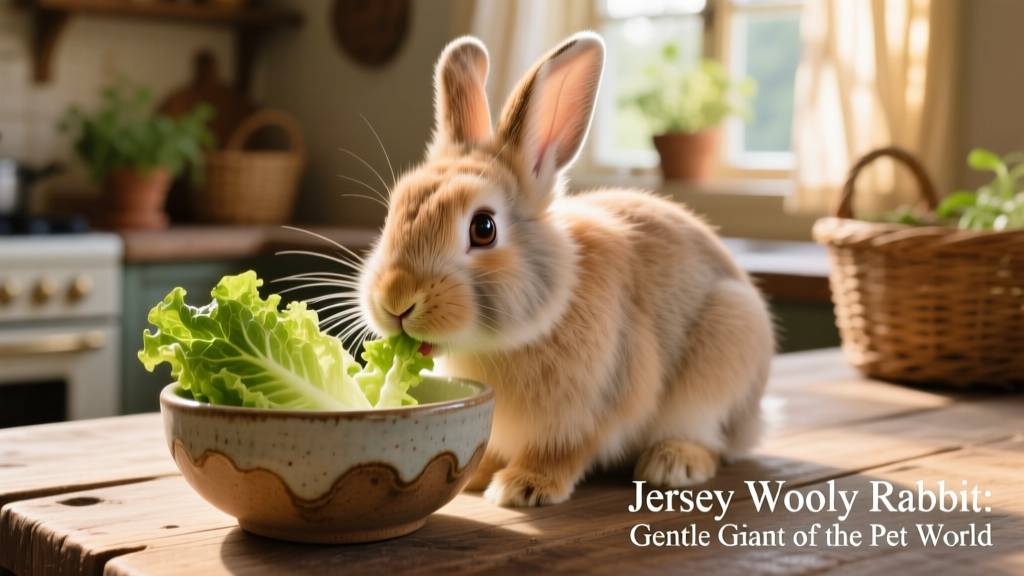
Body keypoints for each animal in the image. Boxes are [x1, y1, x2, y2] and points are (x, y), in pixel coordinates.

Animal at [356, 31, 774, 507]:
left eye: (483, 228)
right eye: (393, 211)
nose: (396, 301)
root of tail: (756, 417)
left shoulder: (592, 409)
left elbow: (563, 451)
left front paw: (522, 487)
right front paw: (479, 474)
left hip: (724, 356)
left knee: (714, 442)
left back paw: (672, 463)